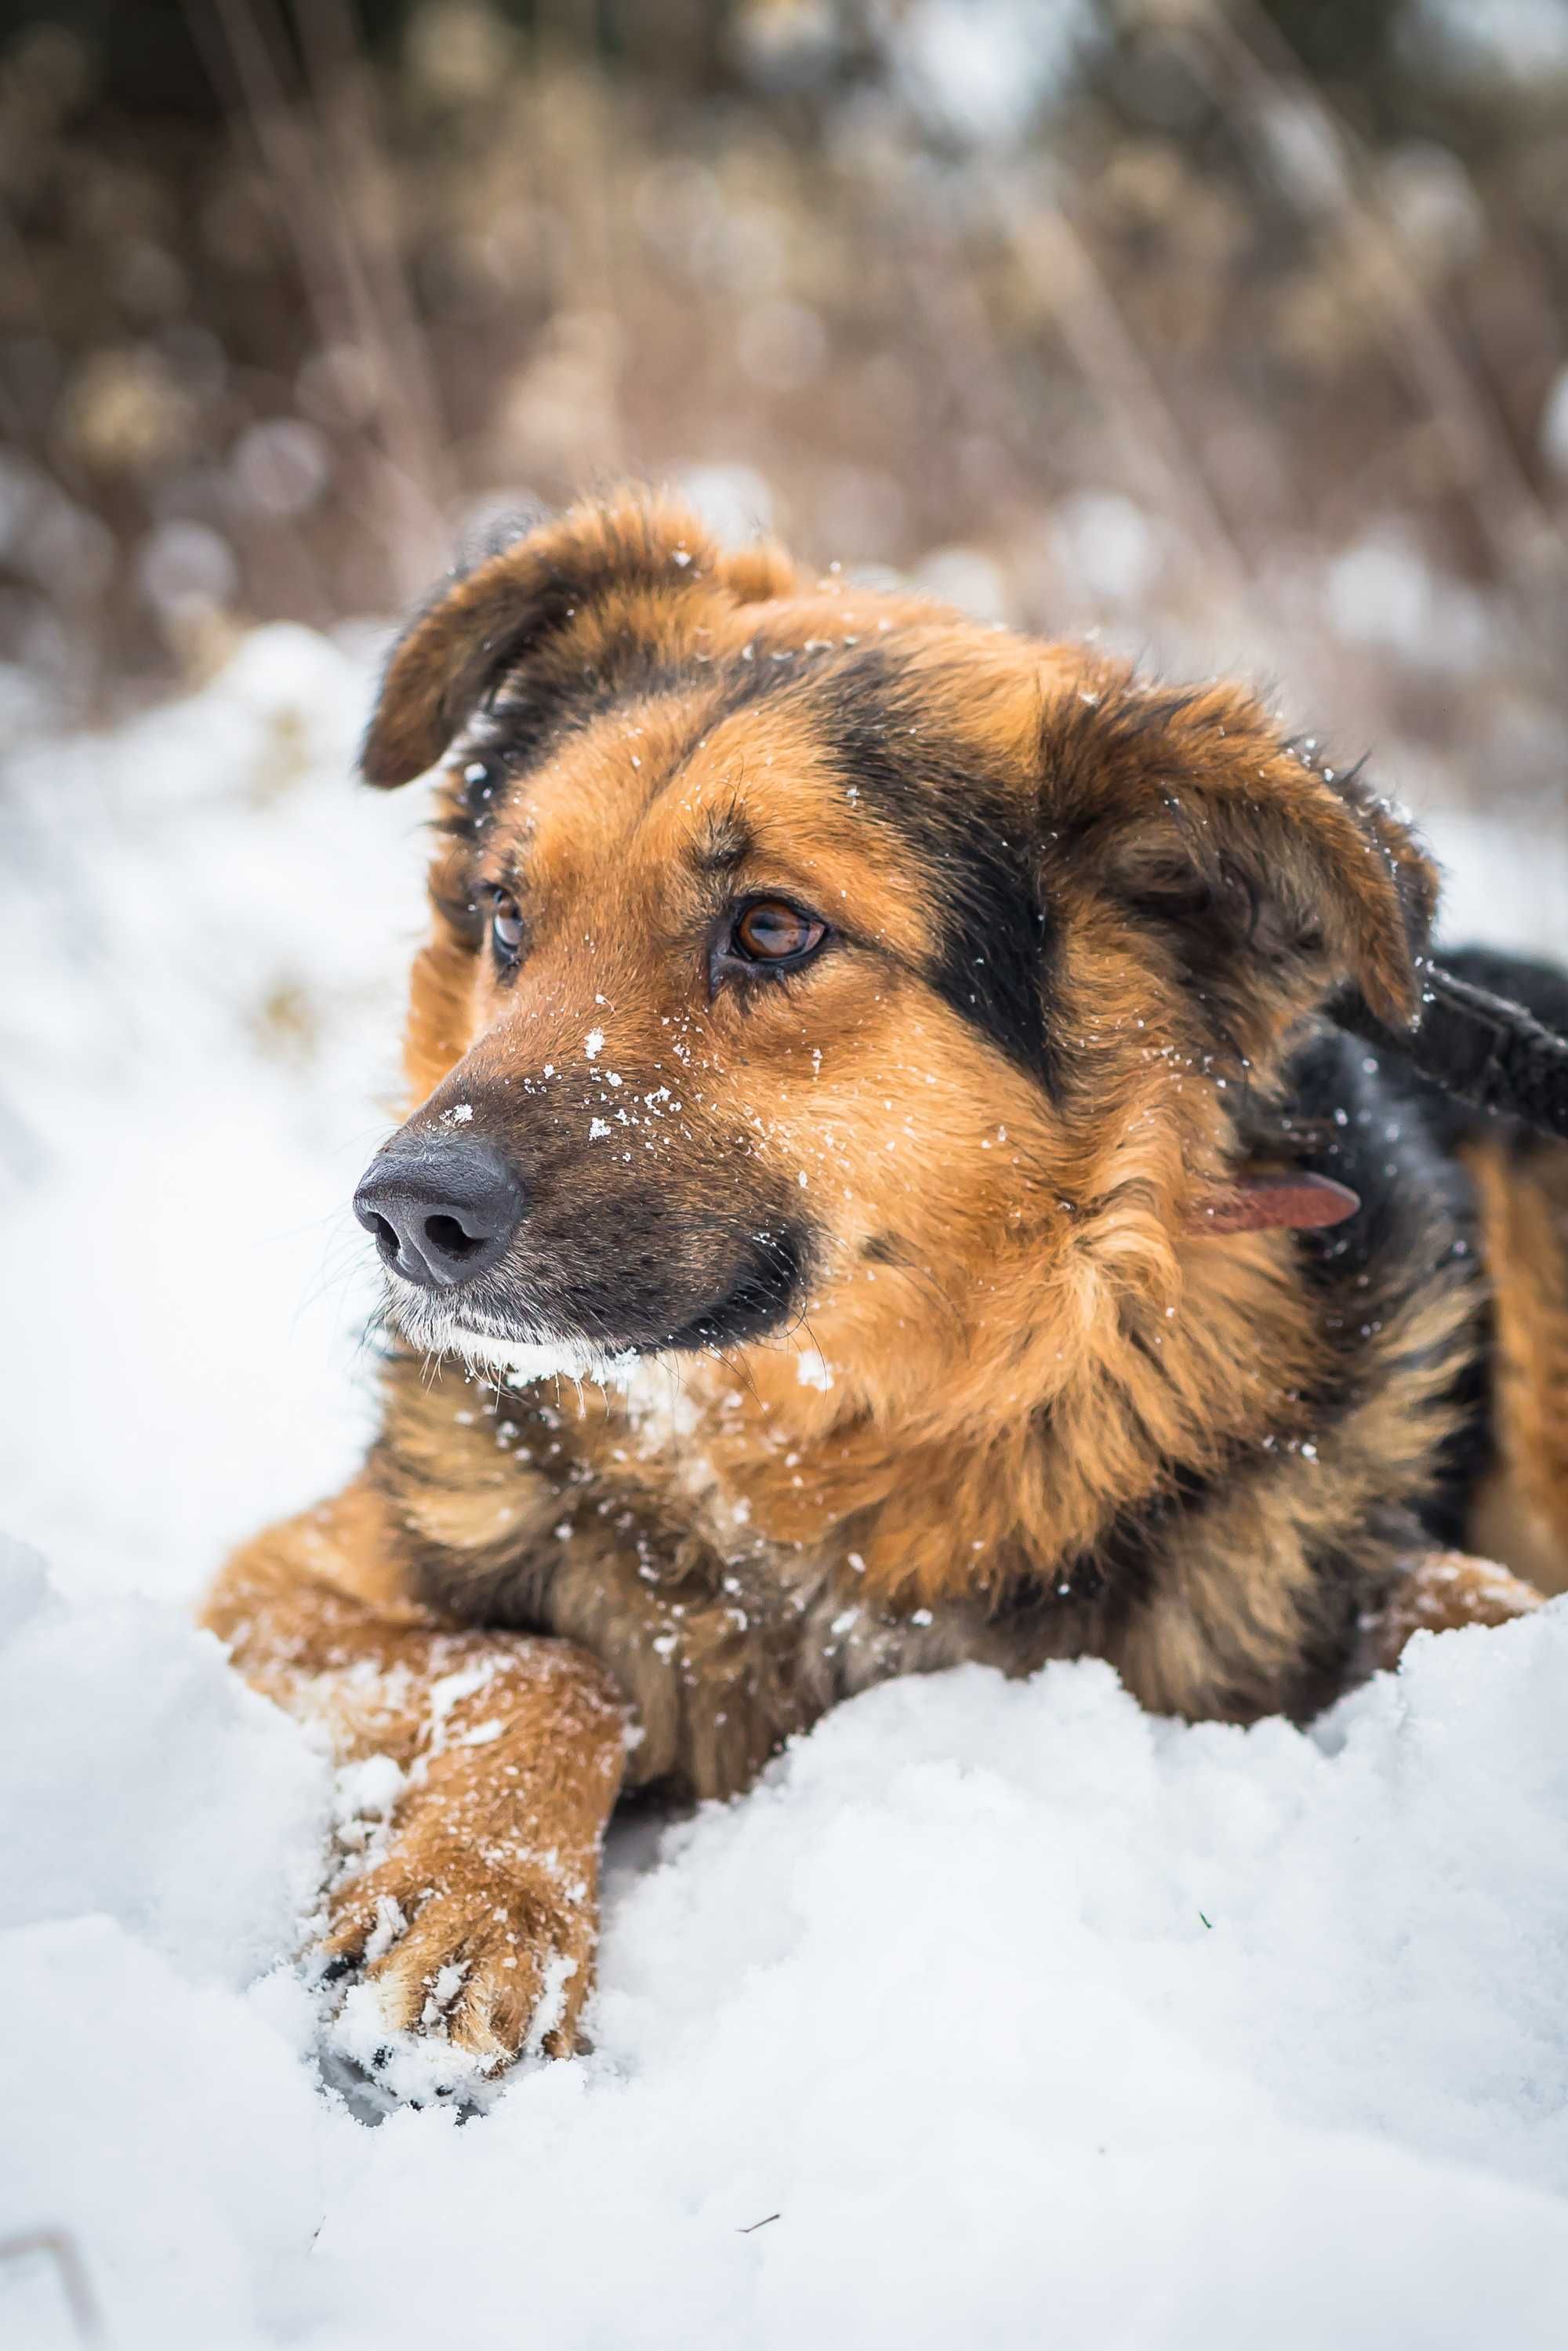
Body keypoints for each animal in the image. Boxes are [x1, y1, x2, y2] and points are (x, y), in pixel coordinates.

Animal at [201, 491, 1561, 2078]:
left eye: (774, 929)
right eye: (507, 916)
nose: (406, 1214)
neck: (836, 1459)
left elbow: (1461, 1597)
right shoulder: (274, 1592)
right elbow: (551, 1667)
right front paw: (478, 1902)